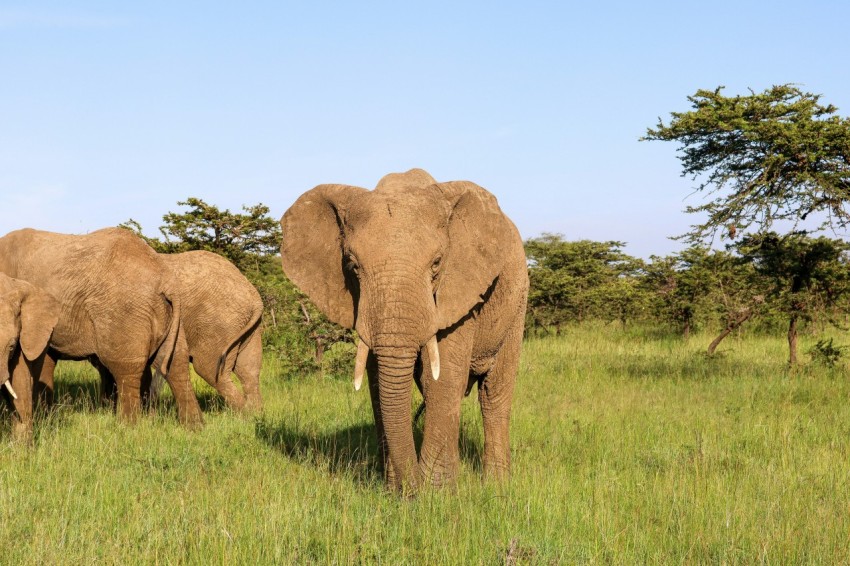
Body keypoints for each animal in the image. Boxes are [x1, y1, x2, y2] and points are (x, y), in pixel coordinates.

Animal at [282, 168, 528, 492]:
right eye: (352, 265)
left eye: (436, 263)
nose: (411, 490)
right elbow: (377, 380)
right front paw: (395, 490)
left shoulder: (459, 289)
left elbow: (443, 378)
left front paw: (436, 493)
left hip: (516, 304)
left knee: (494, 394)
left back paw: (497, 486)